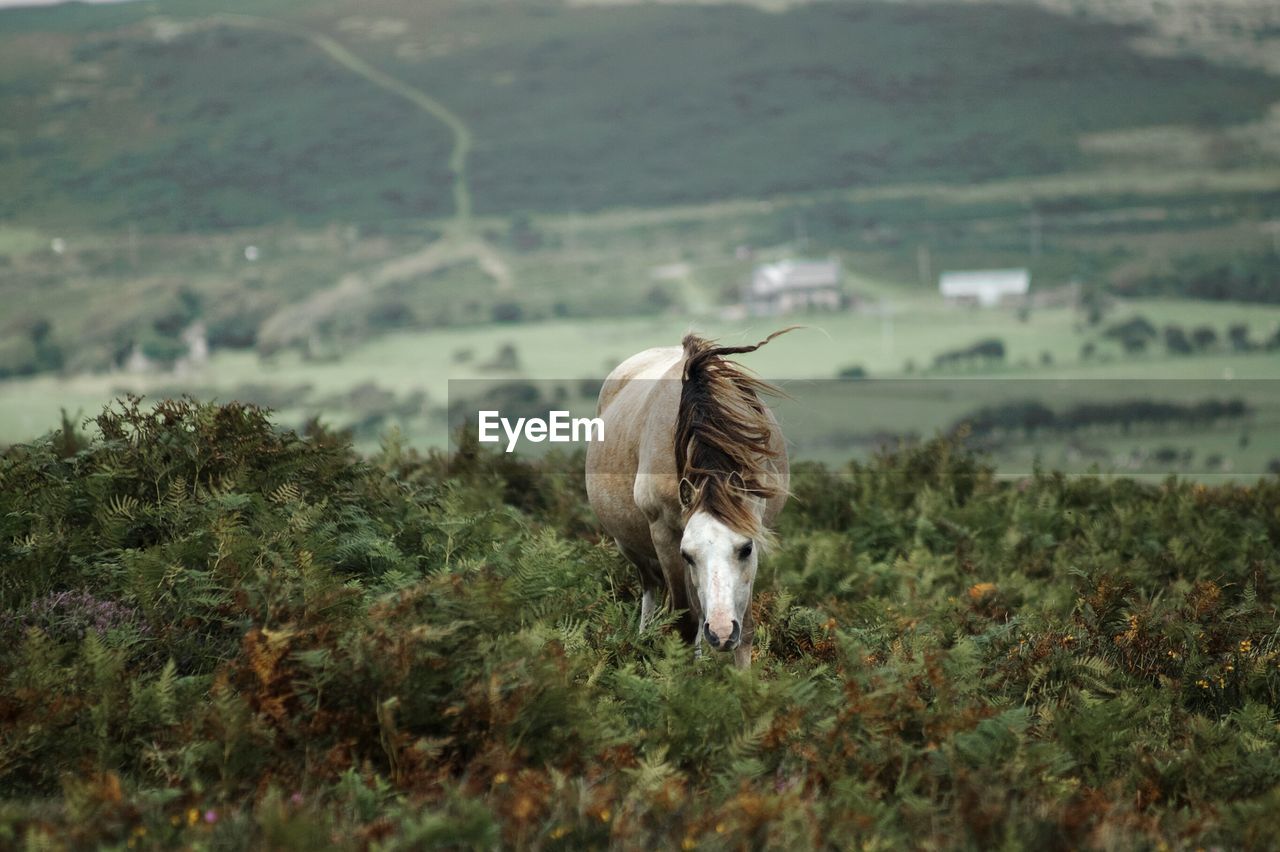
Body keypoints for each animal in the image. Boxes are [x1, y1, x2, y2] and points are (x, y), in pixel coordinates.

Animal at [586, 327, 788, 665]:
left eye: (745, 549)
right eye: (687, 555)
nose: (721, 633)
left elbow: (745, 628)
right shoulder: (666, 538)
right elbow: (685, 622)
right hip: (629, 546)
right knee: (651, 586)